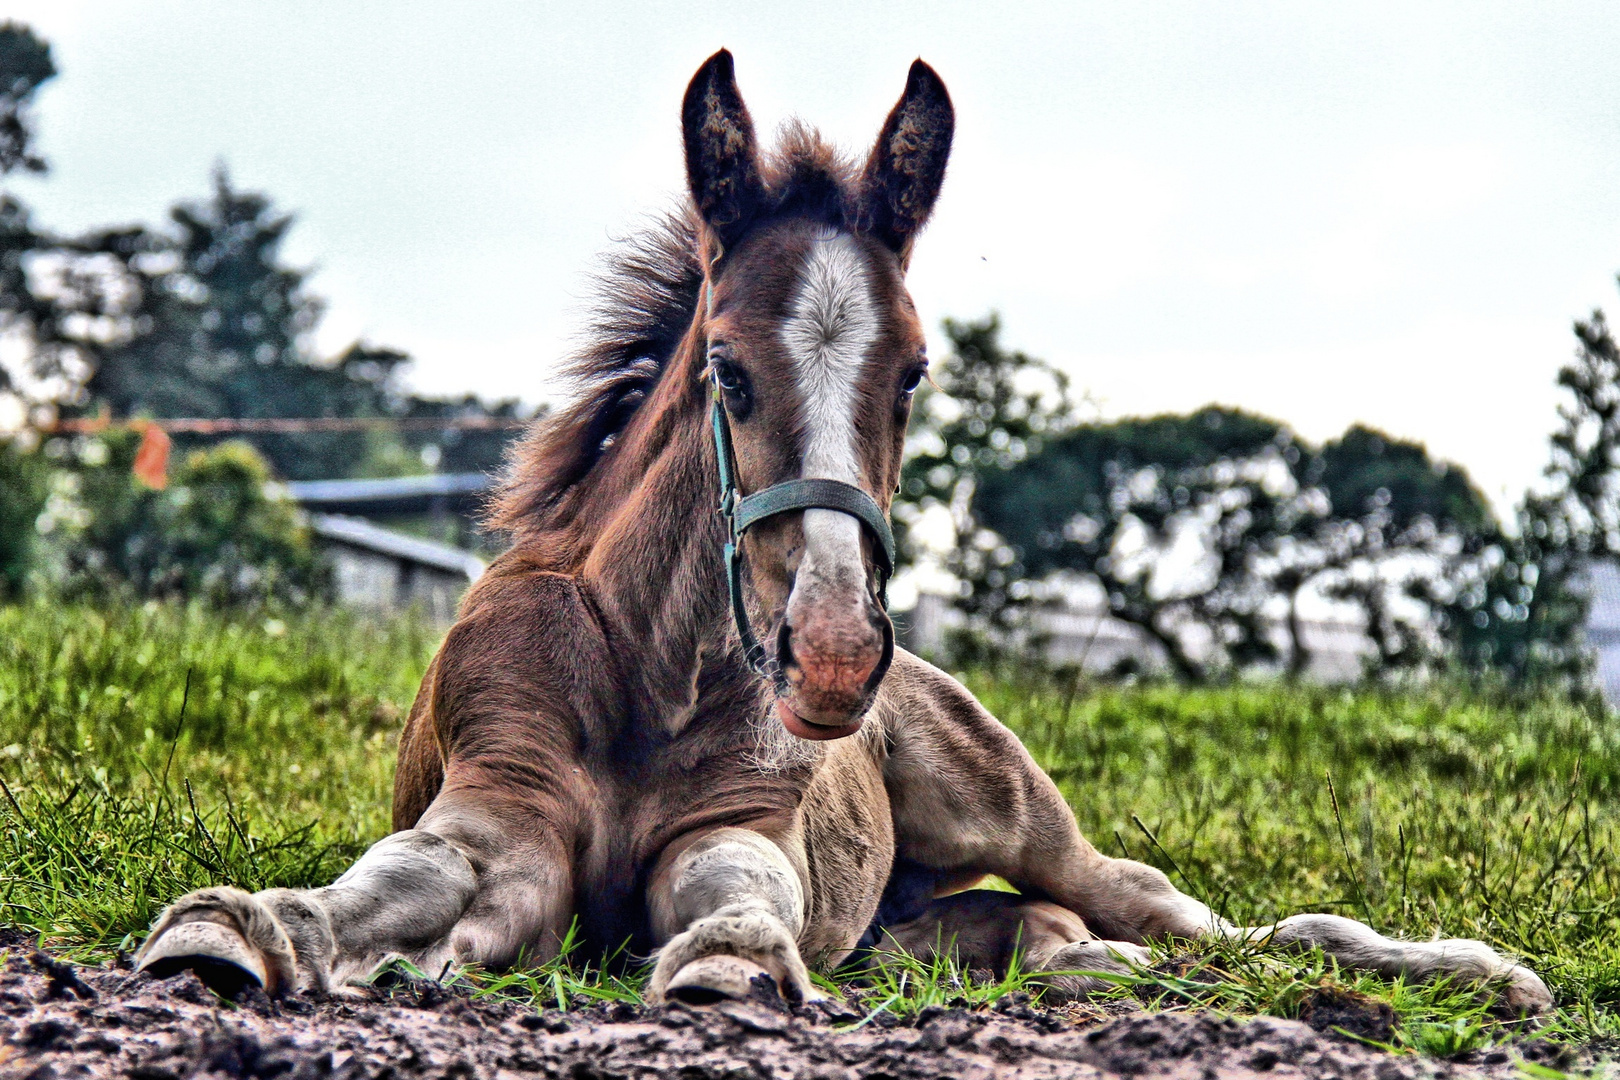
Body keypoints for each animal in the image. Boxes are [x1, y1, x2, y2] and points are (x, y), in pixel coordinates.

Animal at [142, 48, 1555, 1016]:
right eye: (726, 369)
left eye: (917, 372)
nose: (828, 657)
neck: (644, 676)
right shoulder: (499, 819)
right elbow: (378, 893)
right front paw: (230, 935)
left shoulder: (738, 834)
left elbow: (740, 909)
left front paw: (730, 969)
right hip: (915, 911)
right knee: (1032, 931)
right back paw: (1076, 966)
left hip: (1004, 810)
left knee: (1182, 913)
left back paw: (1482, 973)